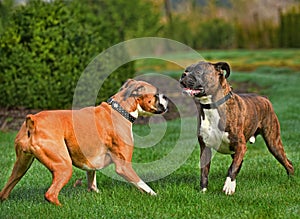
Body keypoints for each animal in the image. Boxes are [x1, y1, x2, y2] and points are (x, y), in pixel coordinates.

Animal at [0, 79, 168, 205]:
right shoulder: (124, 167)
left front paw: (95, 192)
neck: (120, 110)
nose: (166, 96)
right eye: (156, 94)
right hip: (63, 166)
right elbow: (142, 184)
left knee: (5, 191)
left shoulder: (91, 161)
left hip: (21, 166)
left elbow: (92, 179)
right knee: (50, 195)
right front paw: (156, 196)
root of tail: (32, 121)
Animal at [179, 60, 294, 194]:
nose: (183, 74)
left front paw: (229, 185)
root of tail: (264, 98)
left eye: (198, 71)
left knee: (288, 163)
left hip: (273, 143)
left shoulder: (240, 145)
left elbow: (232, 167)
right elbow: (204, 171)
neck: (212, 106)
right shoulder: (205, 148)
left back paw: (291, 180)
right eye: (187, 70)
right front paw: (203, 190)